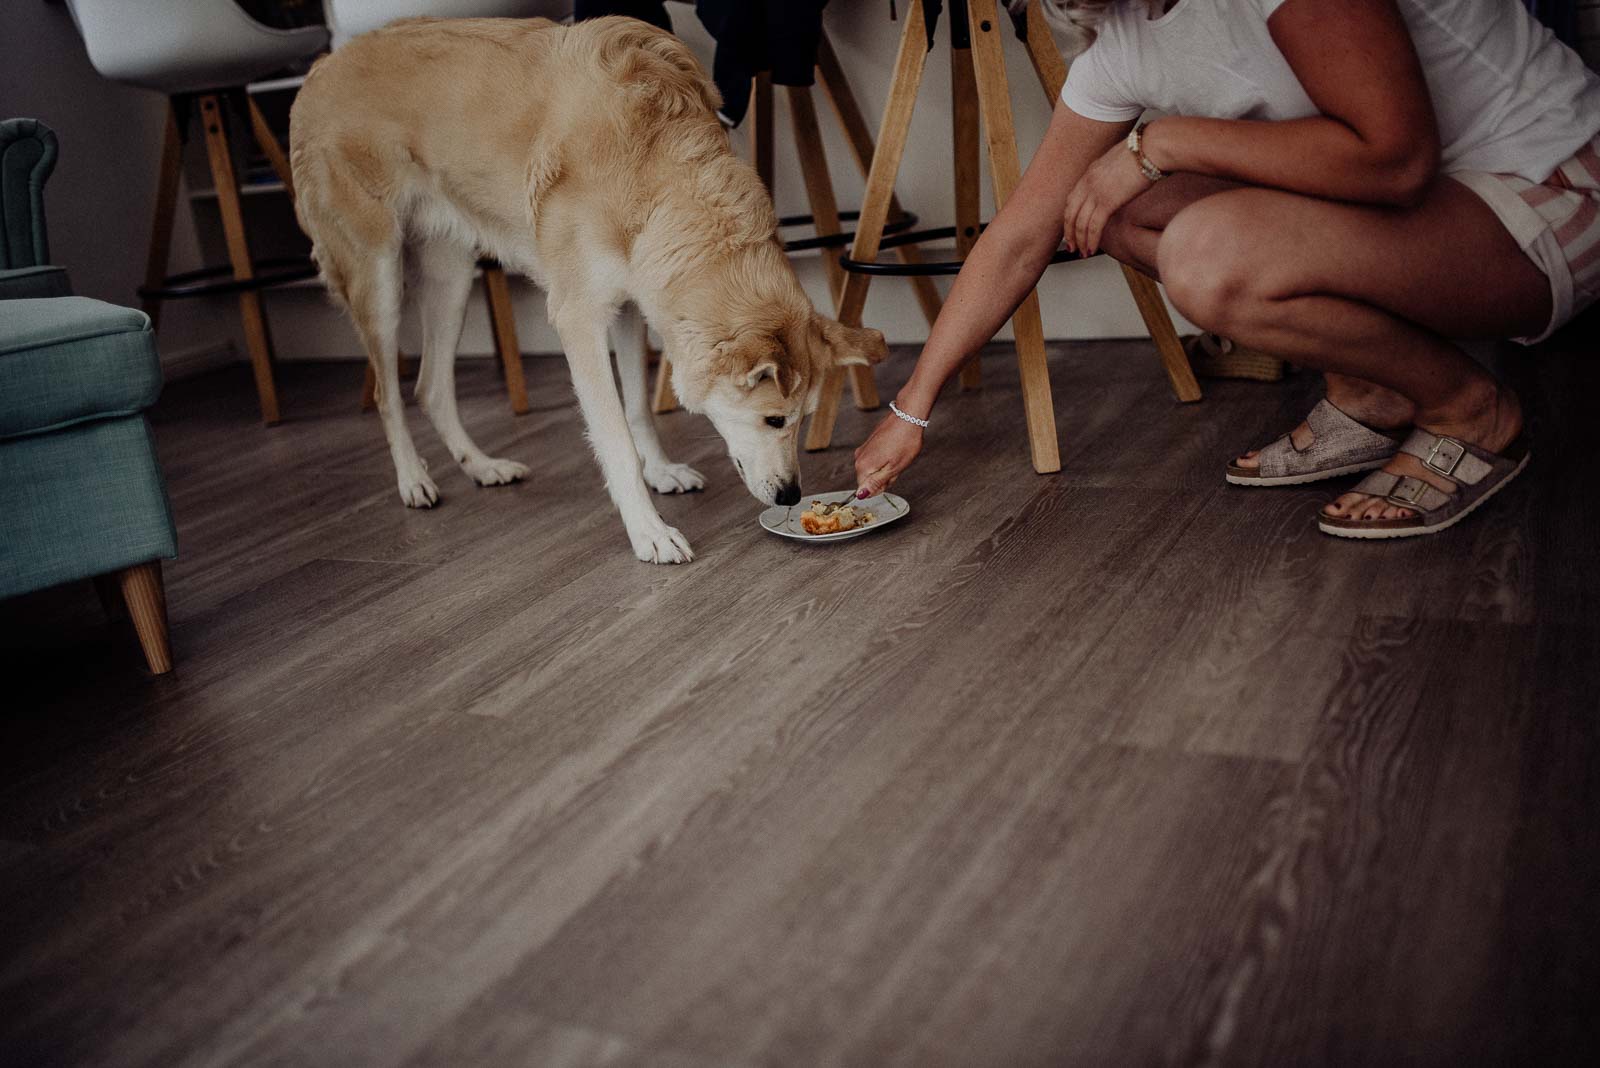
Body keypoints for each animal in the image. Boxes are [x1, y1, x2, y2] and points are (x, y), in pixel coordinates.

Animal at [291, 16, 889, 562]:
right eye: (774, 419)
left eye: (803, 418)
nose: (791, 495)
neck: (654, 170)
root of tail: (321, 67)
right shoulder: (578, 318)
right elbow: (615, 437)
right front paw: (649, 531)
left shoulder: (628, 308)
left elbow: (638, 406)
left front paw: (661, 470)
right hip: (380, 278)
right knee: (388, 394)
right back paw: (413, 479)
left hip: (451, 279)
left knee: (430, 388)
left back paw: (483, 466)